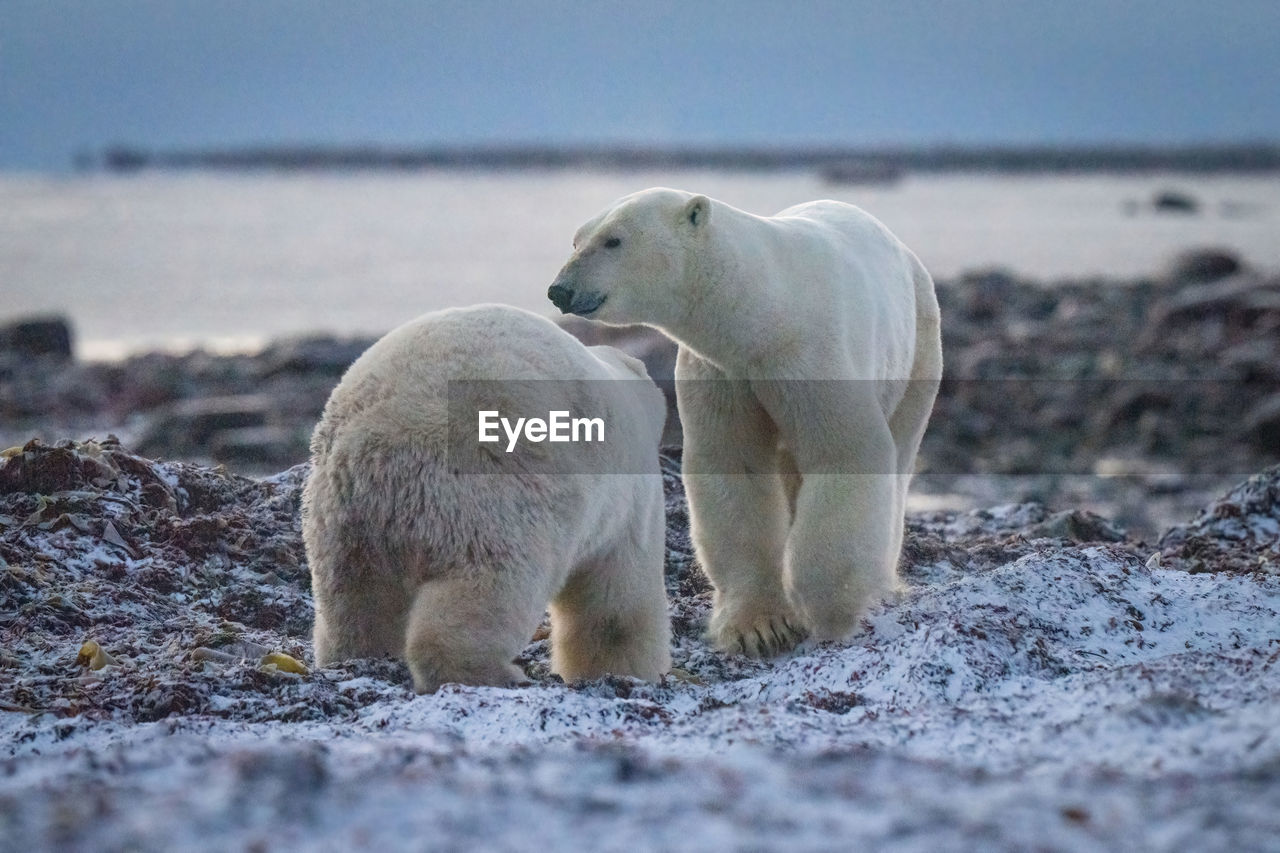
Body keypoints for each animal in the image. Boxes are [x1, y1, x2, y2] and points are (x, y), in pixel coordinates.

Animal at [304, 306, 675, 691]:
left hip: (340, 518)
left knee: (354, 600)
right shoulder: (633, 502)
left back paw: (359, 656)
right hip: (490, 495)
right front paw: (627, 671)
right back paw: (498, 672)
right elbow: (617, 606)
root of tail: (376, 446)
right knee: (495, 582)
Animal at [547, 185, 942, 653]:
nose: (560, 290)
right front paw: (760, 628)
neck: (766, 310)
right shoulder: (722, 370)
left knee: (899, 450)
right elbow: (734, 467)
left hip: (919, 343)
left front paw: (826, 606)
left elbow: (844, 452)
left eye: (614, 241)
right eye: (575, 241)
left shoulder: (811, 353)